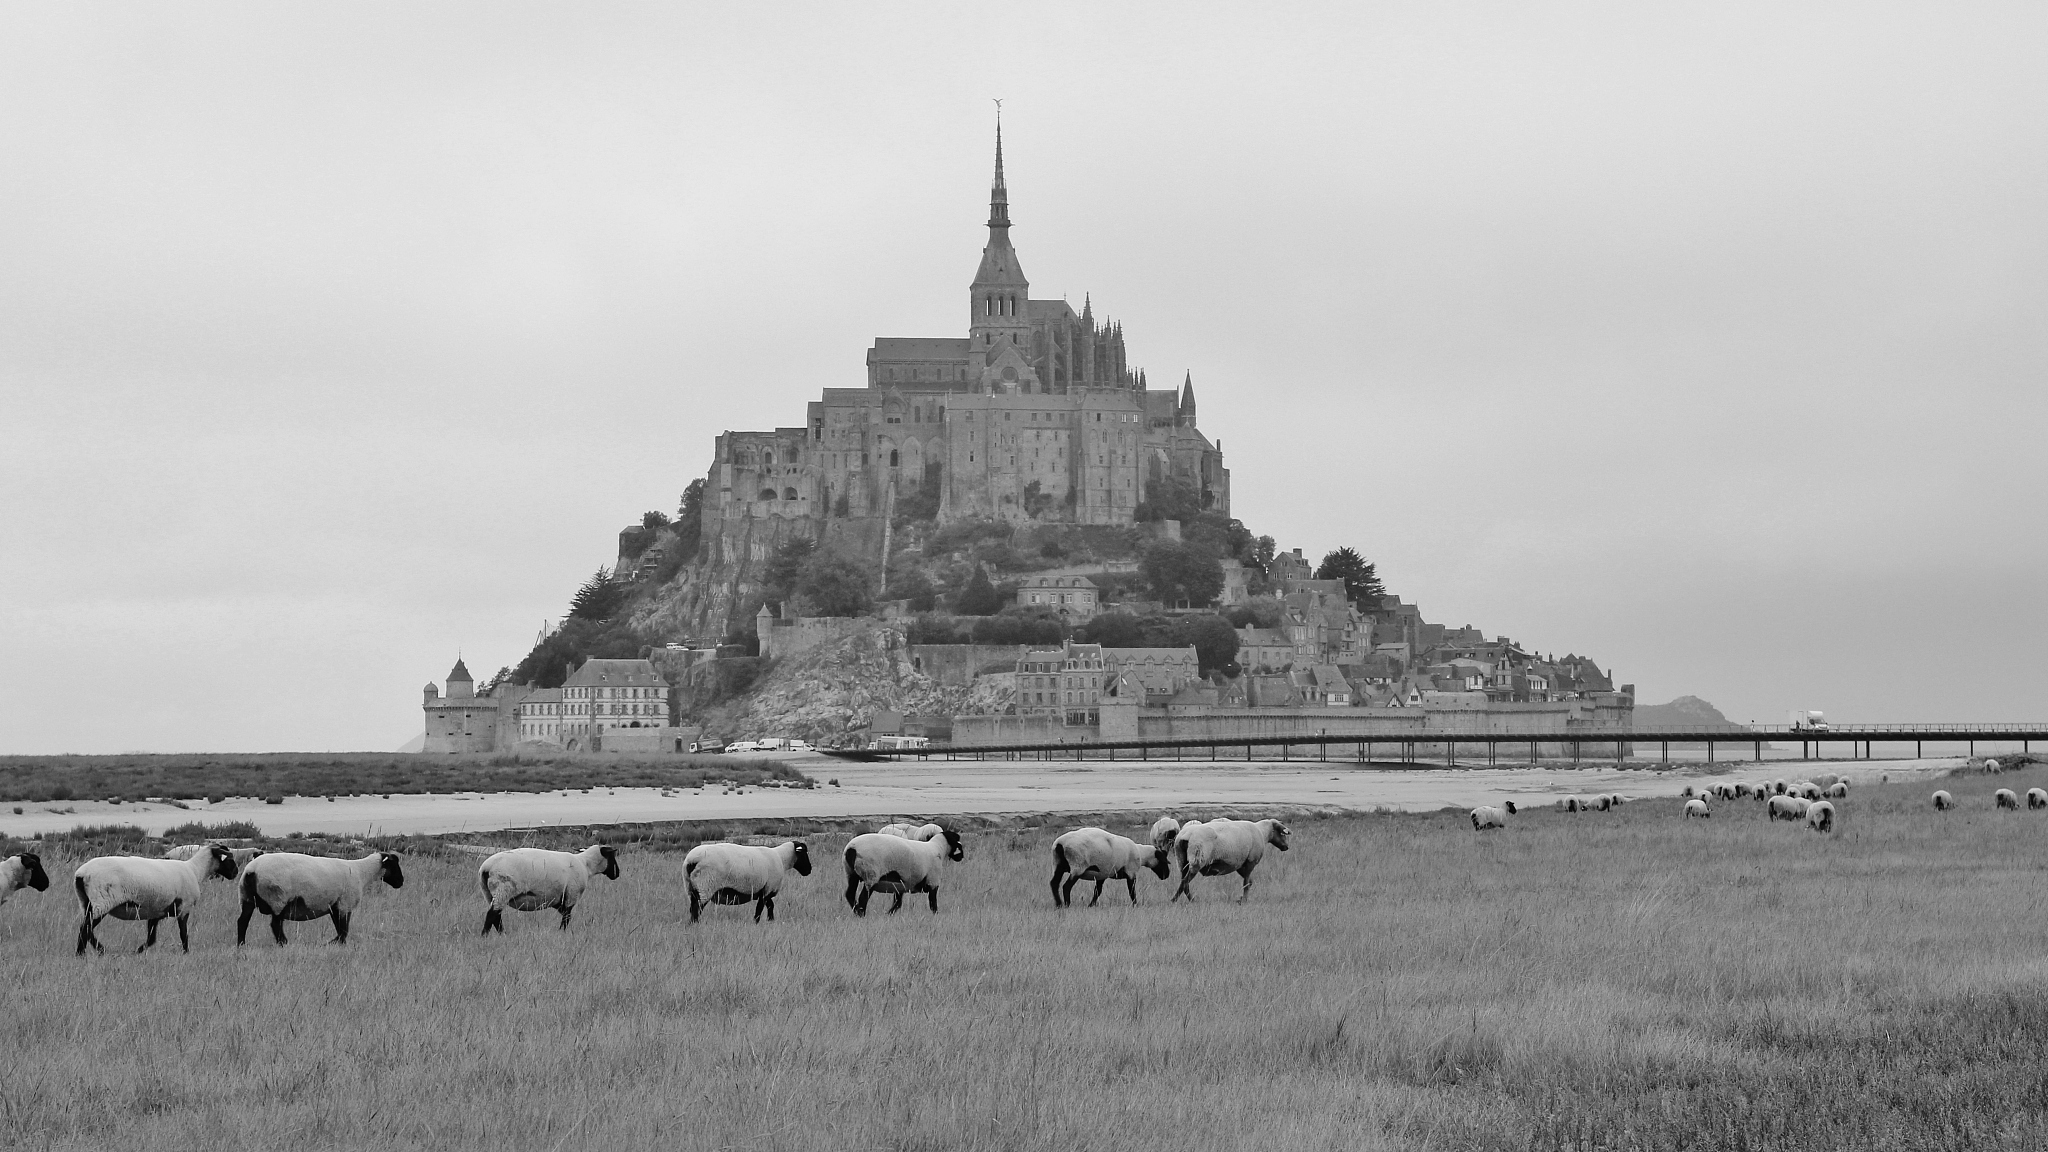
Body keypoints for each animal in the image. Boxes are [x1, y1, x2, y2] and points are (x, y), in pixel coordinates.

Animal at [73, 844, 238, 955]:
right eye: (229, 859)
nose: (236, 873)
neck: (195, 870)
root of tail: (81, 874)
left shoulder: (157, 912)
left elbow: (152, 938)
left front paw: (137, 951)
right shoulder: (184, 908)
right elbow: (183, 934)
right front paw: (186, 952)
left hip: (86, 902)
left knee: (86, 928)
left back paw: (93, 951)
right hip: (101, 902)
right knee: (85, 928)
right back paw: (88, 952)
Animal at [236, 851, 404, 946]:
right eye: (394, 864)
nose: (401, 882)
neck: (362, 872)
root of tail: (252, 871)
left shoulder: (335, 906)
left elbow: (340, 929)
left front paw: (334, 943)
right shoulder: (345, 904)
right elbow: (344, 930)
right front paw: (334, 944)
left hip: (246, 898)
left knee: (242, 922)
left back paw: (241, 944)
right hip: (277, 899)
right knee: (275, 925)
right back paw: (284, 943)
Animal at [479, 845, 620, 933]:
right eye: (612, 856)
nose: (617, 874)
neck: (586, 864)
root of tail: (486, 868)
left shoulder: (559, 900)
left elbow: (565, 915)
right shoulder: (571, 895)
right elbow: (567, 918)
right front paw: (562, 933)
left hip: (489, 893)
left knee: (496, 917)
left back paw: (502, 935)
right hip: (503, 889)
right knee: (492, 915)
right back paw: (485, 936)